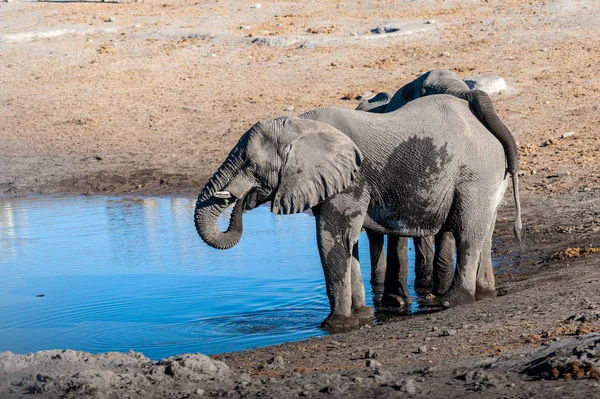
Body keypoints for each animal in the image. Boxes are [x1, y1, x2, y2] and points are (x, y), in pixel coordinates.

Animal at [195, 94, 524, 332]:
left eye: (251, 166)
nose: (240, 200)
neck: (300, 125)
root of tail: (491, 126)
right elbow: (348, 243)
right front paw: (364, 316)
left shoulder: (352, 180)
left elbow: (331, 239)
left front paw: (335, 325)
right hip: (489, 174)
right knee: (484, 232)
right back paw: (484, 294)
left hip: (475, 173)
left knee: (467, 232)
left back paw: (454, 301)